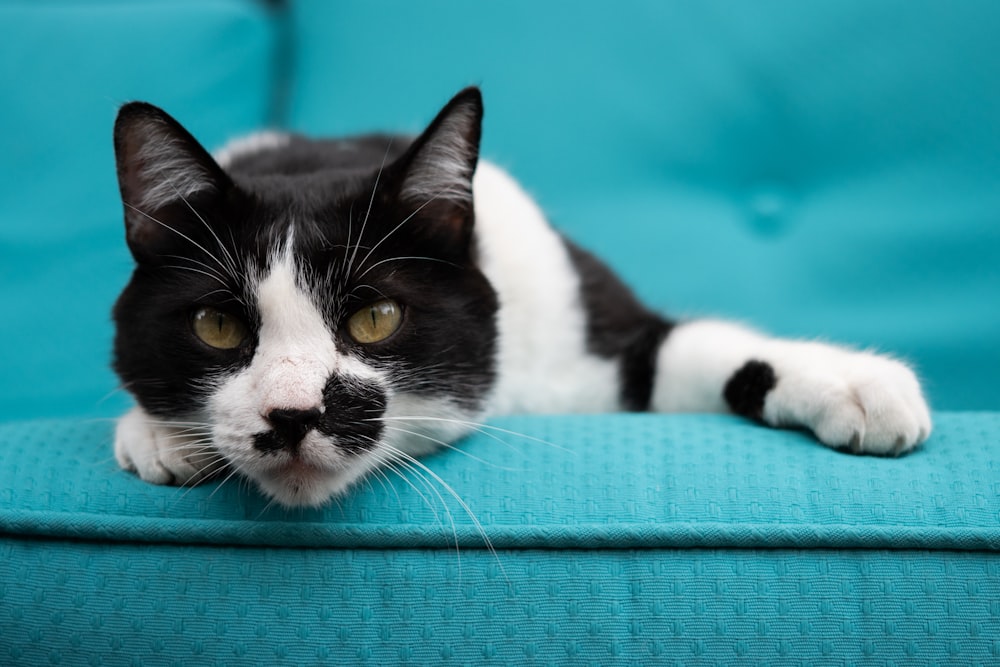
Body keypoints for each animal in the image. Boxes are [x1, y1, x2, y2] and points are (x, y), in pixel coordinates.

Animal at [109, 87, 928, 506]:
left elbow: (687, 345)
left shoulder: (588, 323)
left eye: (376, 317)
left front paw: (858, 383)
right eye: (217, 326)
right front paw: (159, 433)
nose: (292, 413)